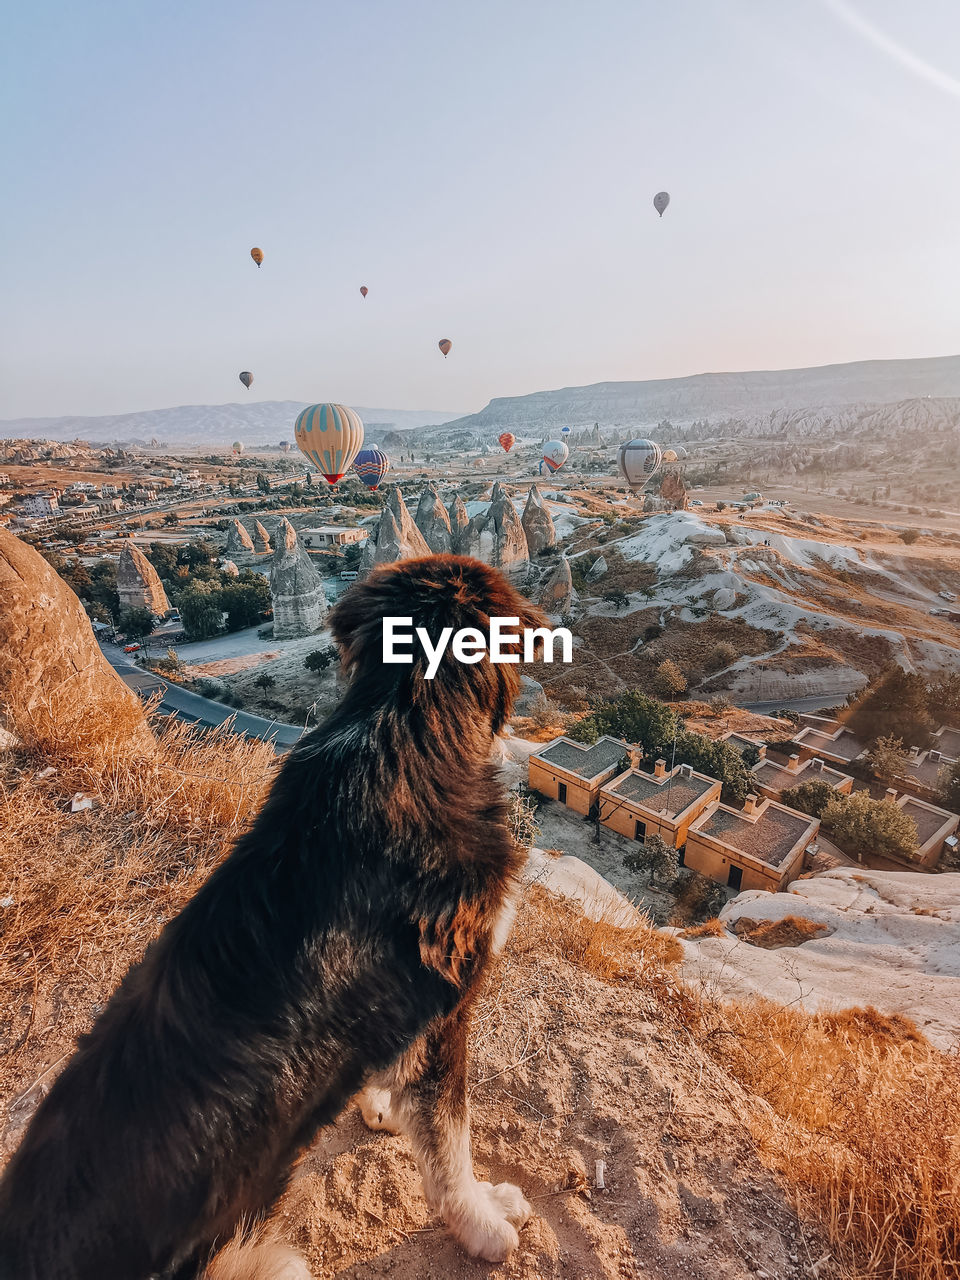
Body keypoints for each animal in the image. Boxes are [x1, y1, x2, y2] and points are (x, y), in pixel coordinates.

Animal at [0, 558, 547, 1280]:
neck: (401, 727)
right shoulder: (444, 1008)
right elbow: (450, 1145)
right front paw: (482, 1221)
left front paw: (378, 1105)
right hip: (263, 1260)